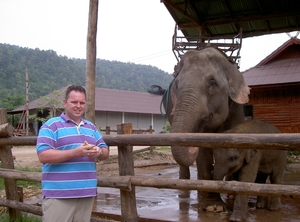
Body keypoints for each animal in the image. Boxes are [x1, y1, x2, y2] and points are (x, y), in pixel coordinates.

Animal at [148, 46, 251, 208]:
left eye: (212, 83)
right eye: (176, 85)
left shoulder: (237, 111)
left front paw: (231, 197)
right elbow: (203, 153)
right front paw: (212, 206)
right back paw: (185, 188)